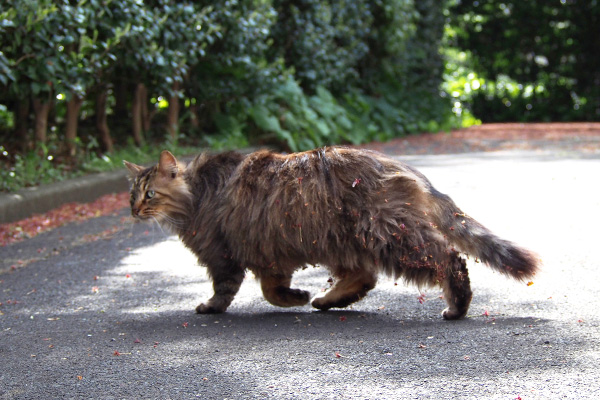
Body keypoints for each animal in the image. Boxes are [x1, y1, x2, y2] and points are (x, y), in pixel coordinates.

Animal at [124, 148, 540, 320]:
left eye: (150, 194)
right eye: (131, 194)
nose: (133, 210)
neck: (197, 193)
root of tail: (401, 165)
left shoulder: (224, 256)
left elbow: (229, 290)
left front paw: (211, 307)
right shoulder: (270, 255)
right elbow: (271, 290)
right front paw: (297, 297)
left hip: (391, 237)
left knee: (448, 259)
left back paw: (458, 306)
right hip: (343, 241)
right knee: (363, 276)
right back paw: (328, 299)